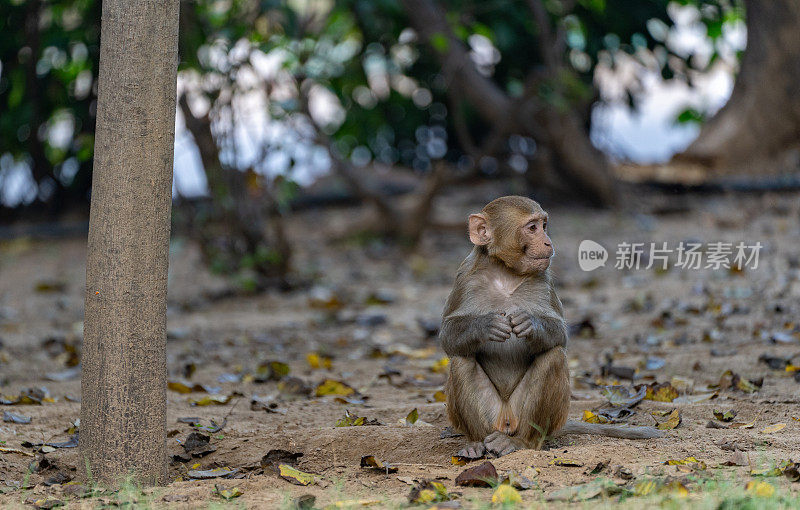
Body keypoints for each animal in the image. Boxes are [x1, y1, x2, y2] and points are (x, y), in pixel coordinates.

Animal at [440, 196, 660, 458]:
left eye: (544, 225)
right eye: (532, 228)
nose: (548, 242)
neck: (505, 273)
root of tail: (505, 420)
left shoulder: (544, 279)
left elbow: (560, 335)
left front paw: (530, 324)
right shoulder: (465, 276)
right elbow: (448, 336)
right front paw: (486, 325)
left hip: (527, 416)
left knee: (552, 357)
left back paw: (521, 442)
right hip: (493, 417)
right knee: (461, 360)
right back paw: (476, 442)